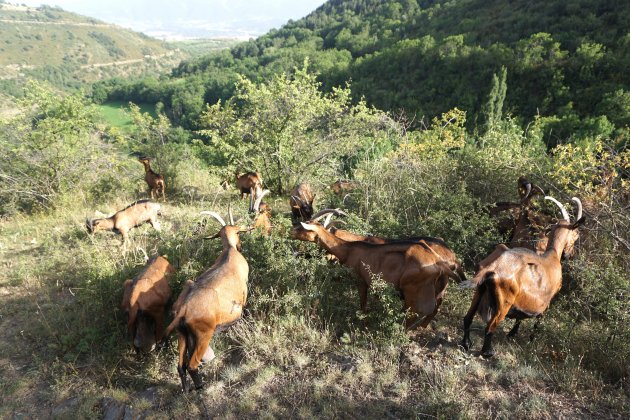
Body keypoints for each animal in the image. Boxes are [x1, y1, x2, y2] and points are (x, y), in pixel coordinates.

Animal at [163, 209, 249, 390]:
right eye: (238, 232)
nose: (240, 246)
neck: (229, 253)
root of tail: (184, 307)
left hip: (182, 334)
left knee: (180, 366)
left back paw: (186, 389)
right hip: (203, 336)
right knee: (191, 365)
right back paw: (201, 387)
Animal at [292, 215, 460, 330]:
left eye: (303, 227)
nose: (291, 231)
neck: (350, 247)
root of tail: (442, 262)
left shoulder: (360, 279)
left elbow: (363, 303)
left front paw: (363, 321)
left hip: (413, 290)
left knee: (419, 310)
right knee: (432, 307)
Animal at [460, 195, 588, 356]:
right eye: (576, 235)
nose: (569, 254)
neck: (552, 255)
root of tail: (493, 267)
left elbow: (521, 315)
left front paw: (512, 334)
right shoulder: (550, 298)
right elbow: (538, 318)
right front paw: (528, 338)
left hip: (480, 290)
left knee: (468, 317)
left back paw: (466, 344)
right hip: (504, 302)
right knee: (490, 327)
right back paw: (488, 352)